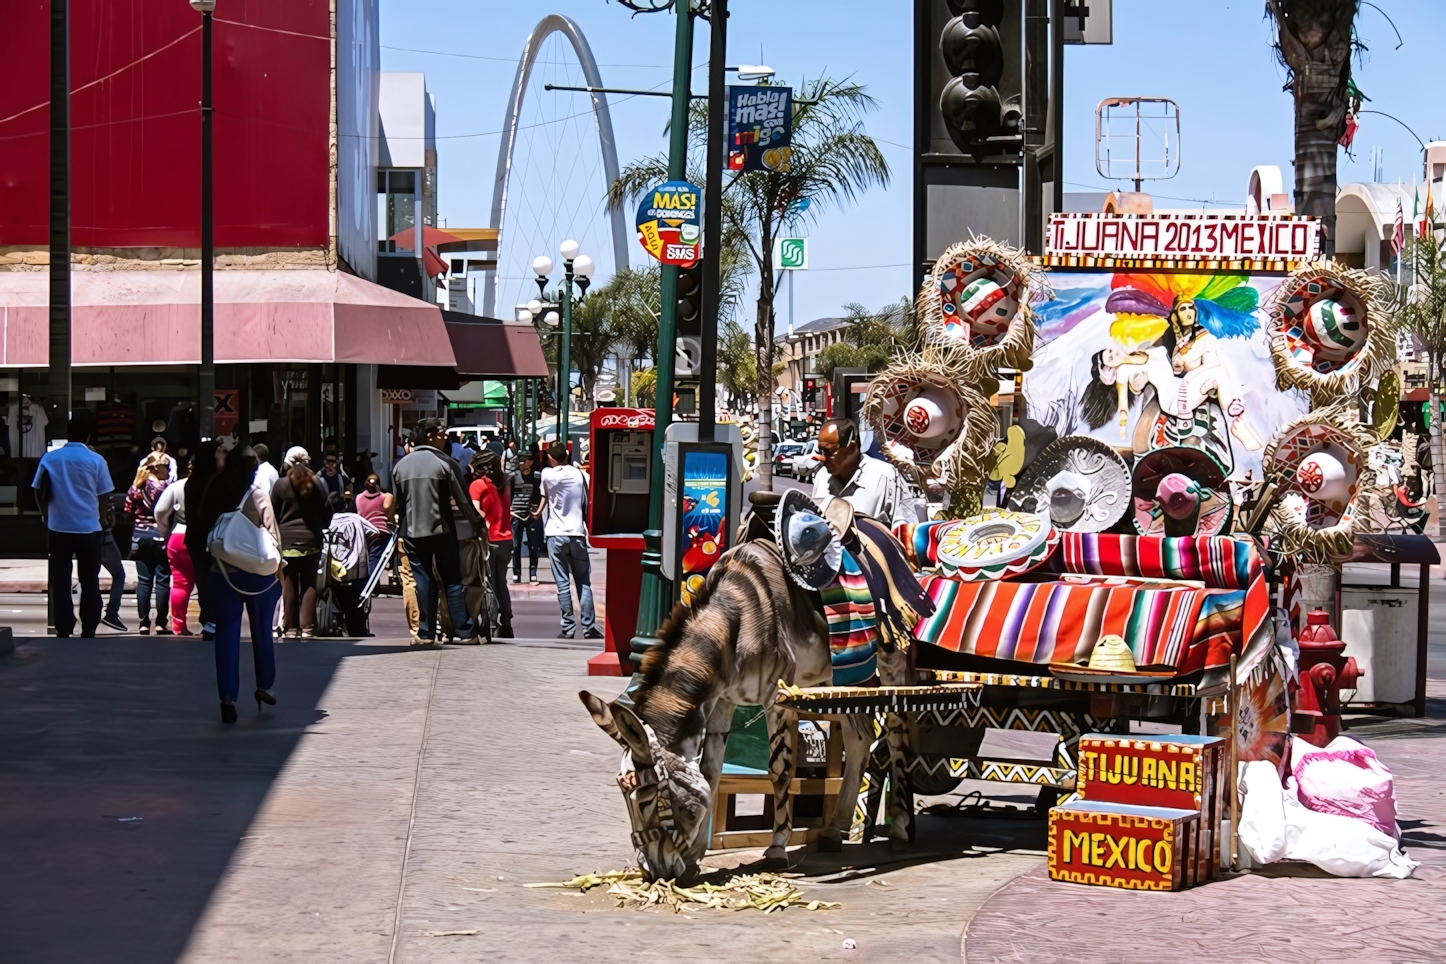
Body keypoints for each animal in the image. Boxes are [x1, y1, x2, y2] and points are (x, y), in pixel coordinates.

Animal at [578, 543, 908, 884]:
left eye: (644, 800)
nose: (653, 872)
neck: (738, 620)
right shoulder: (723, 699)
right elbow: (711, 772)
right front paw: (696, 855)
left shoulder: (777, 698)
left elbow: (780, 771)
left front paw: (776, 849)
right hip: (839, 680)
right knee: (860, 738)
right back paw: (835, 829)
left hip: (891, 663)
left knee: (898, 735)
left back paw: (899, 830)